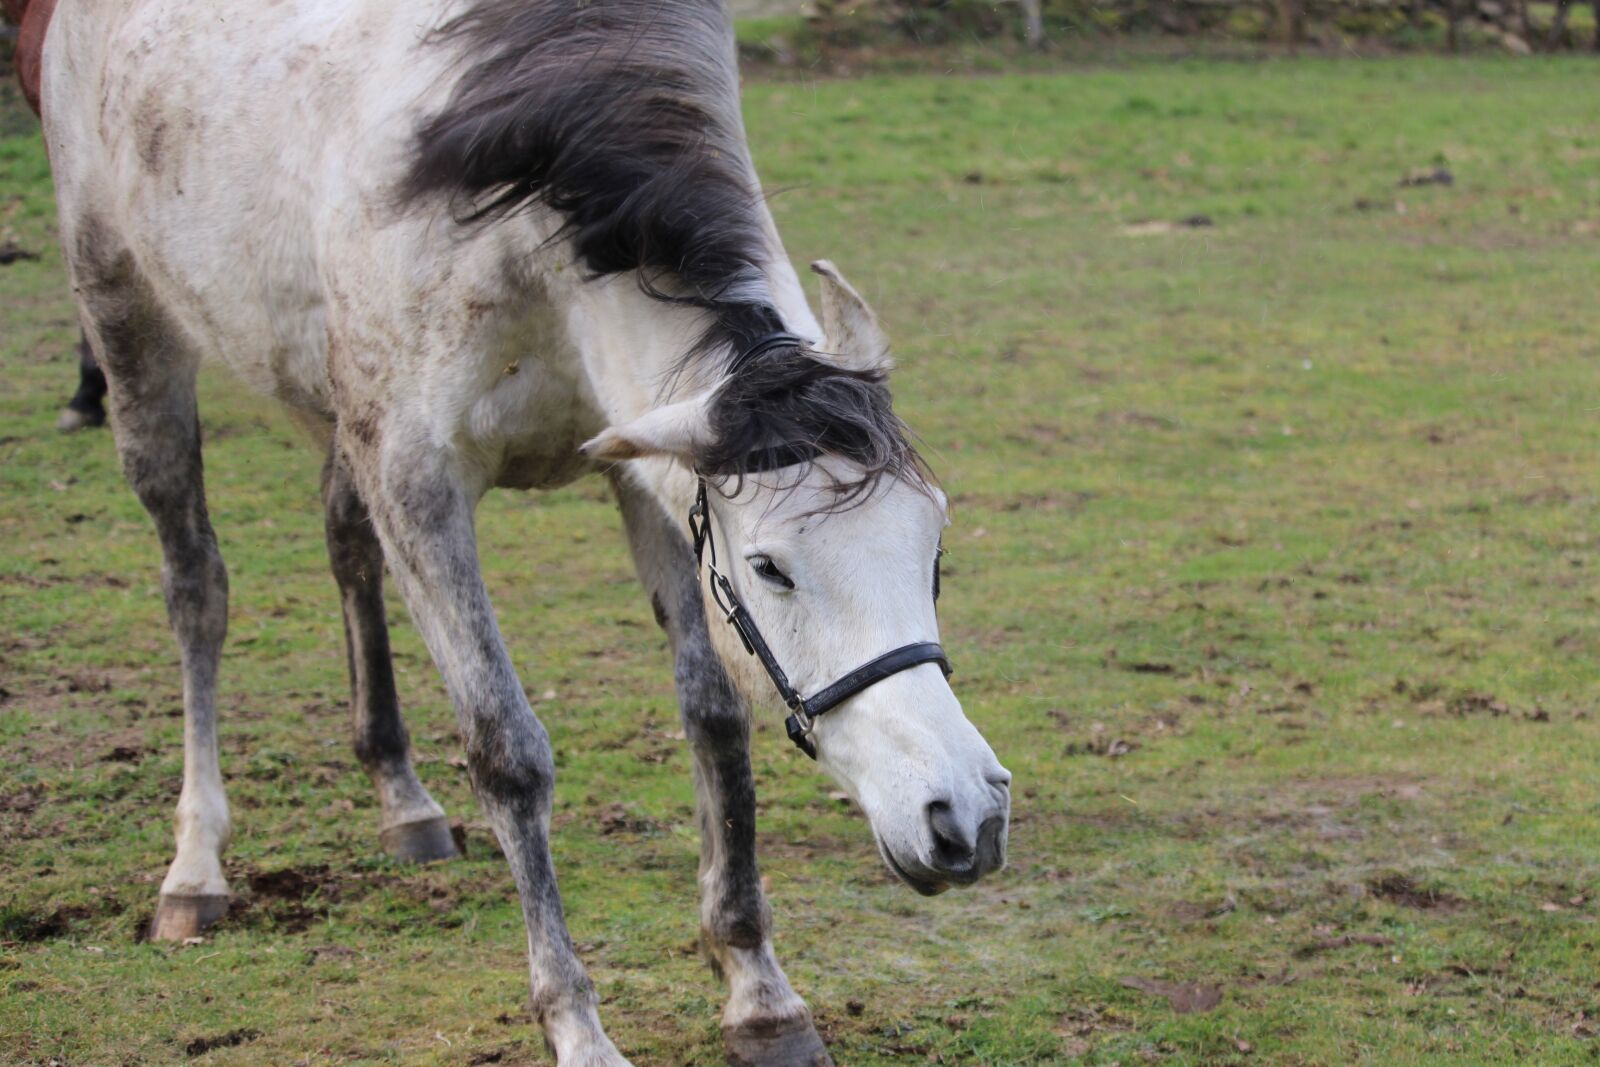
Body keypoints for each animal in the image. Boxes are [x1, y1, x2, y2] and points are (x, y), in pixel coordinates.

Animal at [41, 0, 1012, 1062]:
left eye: (933, 549)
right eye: (771, 568)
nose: (965, 816)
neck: (520, 211)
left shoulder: (647, 467)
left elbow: (714, 717)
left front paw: (759, 988)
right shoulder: (418, 481)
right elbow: (507, 750)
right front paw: (578, 1026)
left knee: (345, 549)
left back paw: (403, 801)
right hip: (130, 323)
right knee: (196, 592)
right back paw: (195, 867)